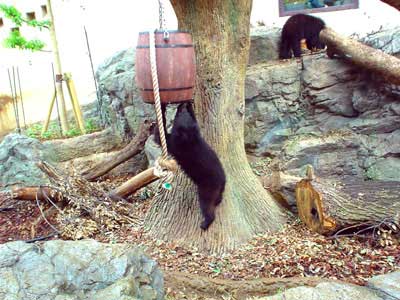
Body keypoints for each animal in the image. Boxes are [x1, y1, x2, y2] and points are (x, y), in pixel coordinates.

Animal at [160, 102, 228, 231]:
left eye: (177, 116)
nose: (180, 107)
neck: (190, 137)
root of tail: (222, 180)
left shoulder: (179, 146)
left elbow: (167, 140)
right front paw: (187, 104)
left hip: (207, 188)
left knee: (206, 205)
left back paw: (205, 223)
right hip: (219, 188)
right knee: (218, 198)